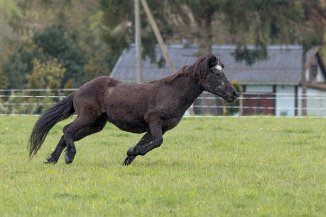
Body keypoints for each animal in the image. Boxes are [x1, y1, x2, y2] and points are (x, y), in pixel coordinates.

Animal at [29, 53, 238, 164]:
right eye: (218, 74)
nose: (234, 94)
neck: (172, 92)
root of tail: (78, 91)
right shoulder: (154, 121)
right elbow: (157, 142)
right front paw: (130, 152)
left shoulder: (159, 127)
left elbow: (147, 143)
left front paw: (128, 158)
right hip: (87, 117)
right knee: (67, 130)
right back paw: (68, 157)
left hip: (96, 125)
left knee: (67, 134)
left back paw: (52, 160)